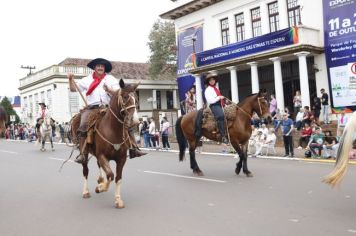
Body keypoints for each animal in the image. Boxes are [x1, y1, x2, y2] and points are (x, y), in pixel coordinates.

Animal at [71, 79, 139, 208]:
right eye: (125, 96)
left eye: (136, 99)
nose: (135, 121)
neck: (112, 130)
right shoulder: (103, 156)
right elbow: (110, 175)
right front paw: (100, 188)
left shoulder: (121, 158)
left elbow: (117, 178)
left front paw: (118, 200)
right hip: (85, 152)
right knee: (85, 171)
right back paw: (86, 191)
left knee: (99, 167)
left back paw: (100, 180)